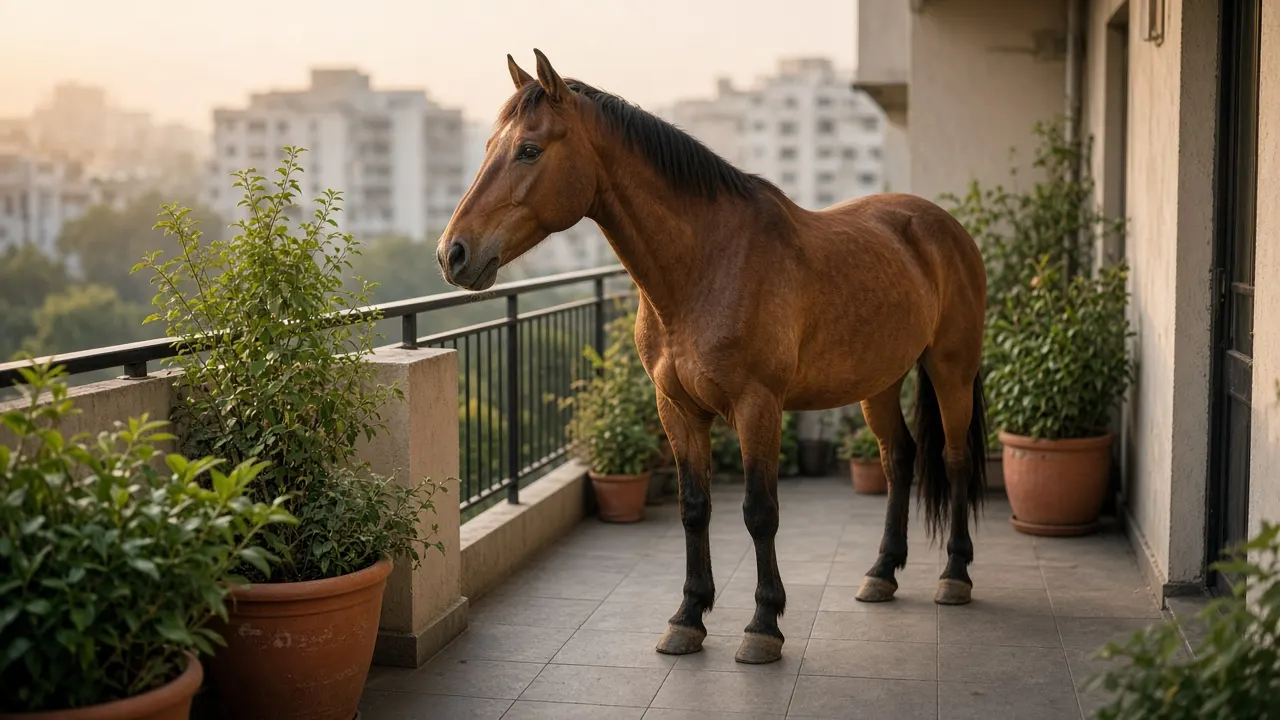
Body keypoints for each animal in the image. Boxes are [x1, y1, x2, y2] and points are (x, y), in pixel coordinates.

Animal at [436, 49, 989, 665]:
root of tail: (943, 227)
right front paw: (688, 617)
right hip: (880, 381)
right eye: (489, 145)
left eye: (529, 149)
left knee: (956, 459)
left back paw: (955, 575)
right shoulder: (676, 409)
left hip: (951, 369)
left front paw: (763, 625)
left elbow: (759, 511)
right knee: (899, 459)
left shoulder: (757, 407)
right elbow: (693, 507)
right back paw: (882, 572)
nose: (453, 253)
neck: (707, 265)